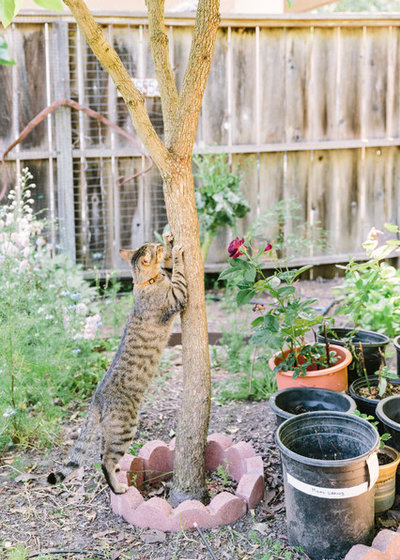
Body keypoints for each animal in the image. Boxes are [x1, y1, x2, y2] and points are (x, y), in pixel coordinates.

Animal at [47, 232, 186, 494]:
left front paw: (170, 241)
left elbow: (170, 268)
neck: (145, 283)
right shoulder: (177, 297)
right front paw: (177, 251)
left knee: (102, 453)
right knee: (105, 460)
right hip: (125, 428)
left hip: (110, 432)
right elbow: (180, 274)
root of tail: (96, 397)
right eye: (153, 249)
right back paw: (117, 487)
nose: (158, 242)